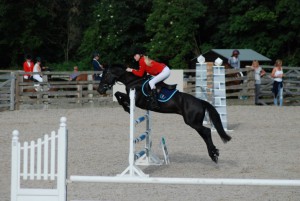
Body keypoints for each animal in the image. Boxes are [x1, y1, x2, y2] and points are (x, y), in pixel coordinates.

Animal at [97, 65, 231, 163]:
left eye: (105, 75)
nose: (99, 90)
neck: (134, 81)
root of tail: (200, 102)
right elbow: (118, 94)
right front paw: (126, 107)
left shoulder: (136, 99)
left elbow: (119, 95)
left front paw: (127, 108)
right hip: (194, 122)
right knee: (204, 134)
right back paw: (214, 154)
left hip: (192, 122)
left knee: (206, 132)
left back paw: (213, 154)